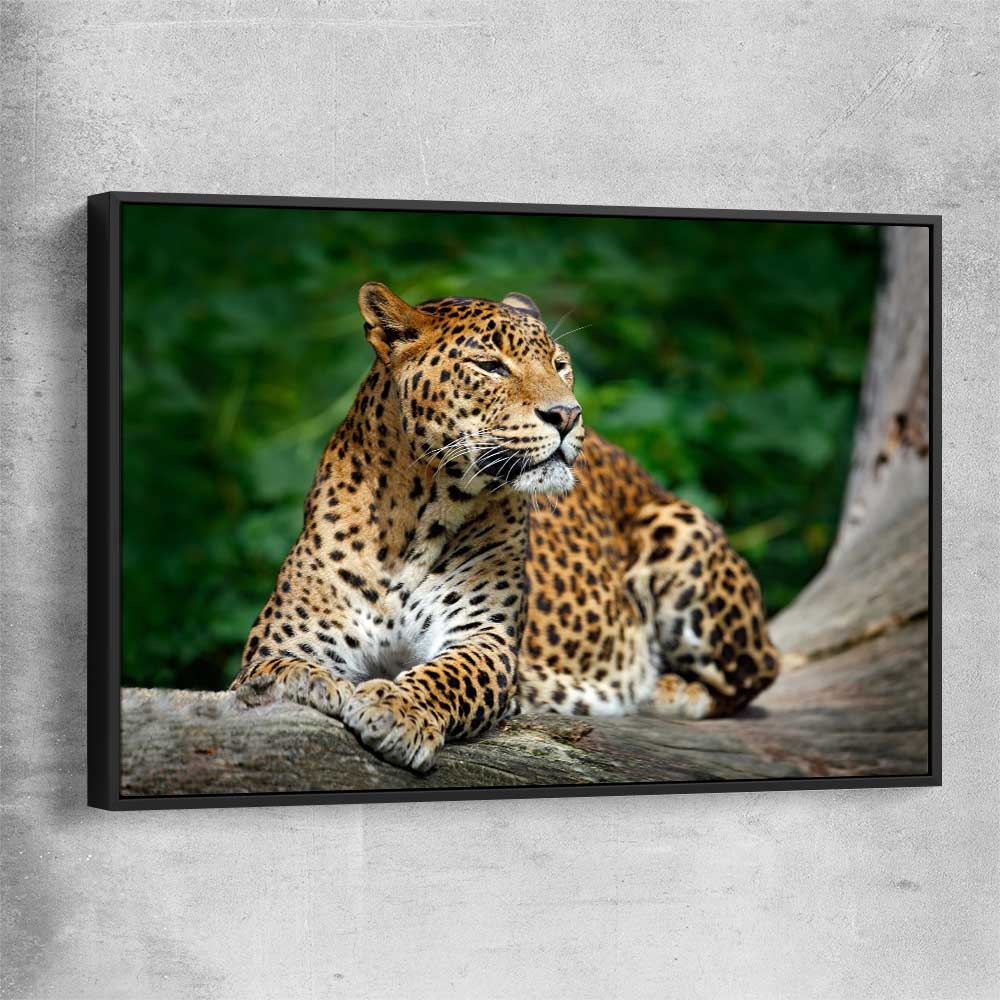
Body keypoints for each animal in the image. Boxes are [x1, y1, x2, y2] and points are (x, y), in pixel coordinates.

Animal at [231, 282, 780, 772]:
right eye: (490, 366)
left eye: (560, 365)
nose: (568, 414)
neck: (414, 518)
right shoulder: (283, 638)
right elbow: (272, 669)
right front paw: (309, 682)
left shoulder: (484, 639)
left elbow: (447, 676)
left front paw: (397, 710)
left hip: (679, 529)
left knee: (758, 672)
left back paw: (668, 689)